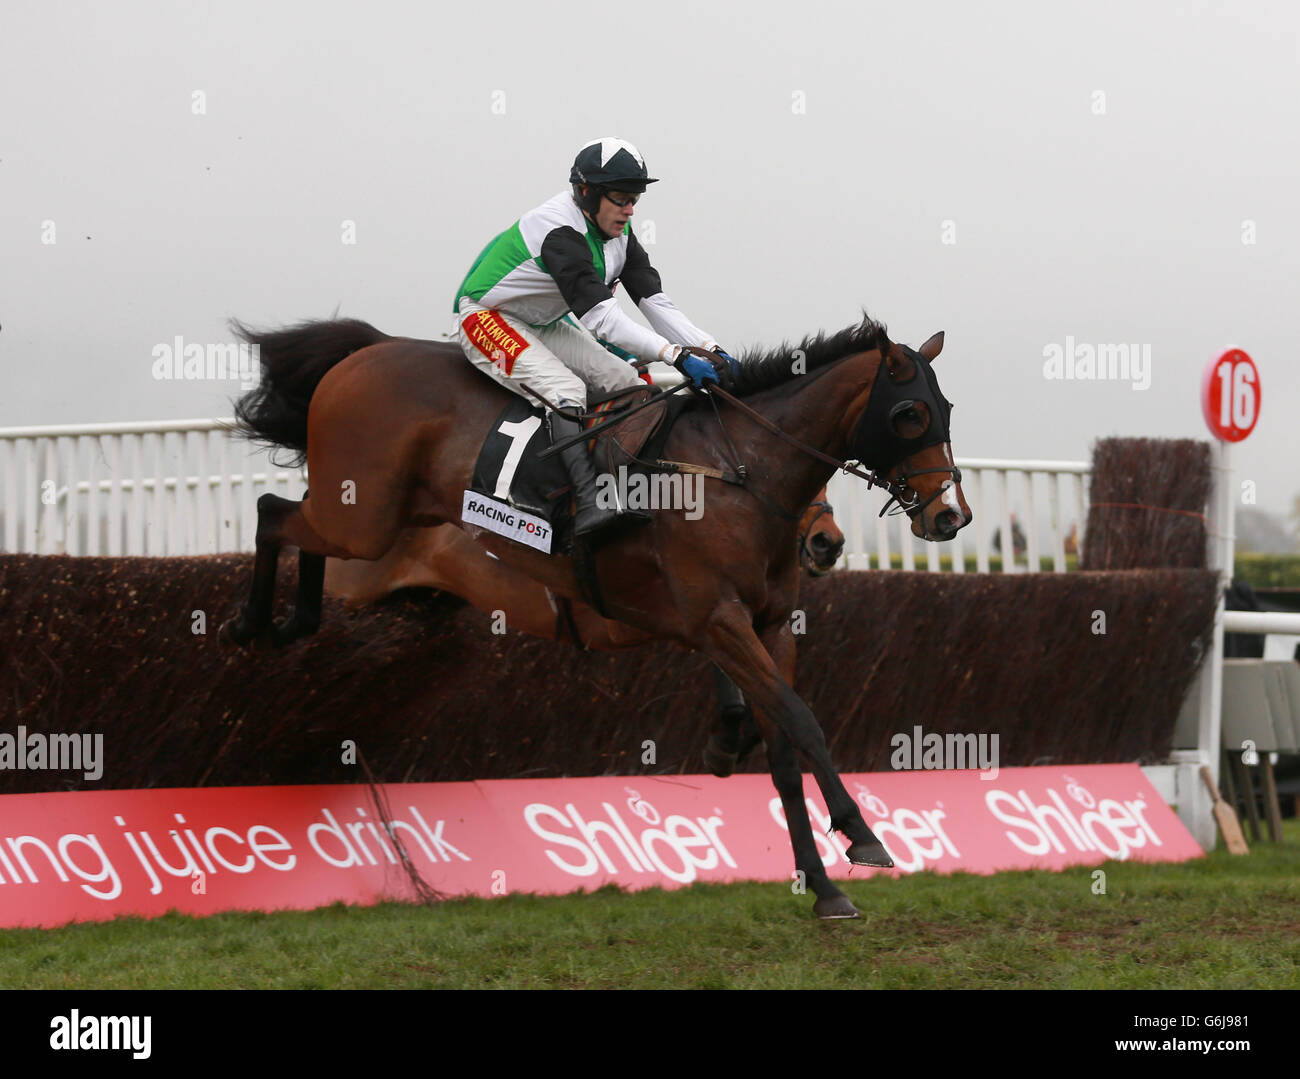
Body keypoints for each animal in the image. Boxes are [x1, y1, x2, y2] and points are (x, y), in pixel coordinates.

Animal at [226, 314, 977, 920]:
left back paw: (295, 621)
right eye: (909, 413)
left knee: (294, 526)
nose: (951, 516)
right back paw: (254, 624)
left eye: (945, 406)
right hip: (359, 518)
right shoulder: (715, 619)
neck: (731, 471)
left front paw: (822, 887)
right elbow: (802, 720)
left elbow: (784, 749)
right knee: (271, 510)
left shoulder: (761, 625)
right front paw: (862, 833)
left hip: (366, 524)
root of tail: (367, 352)